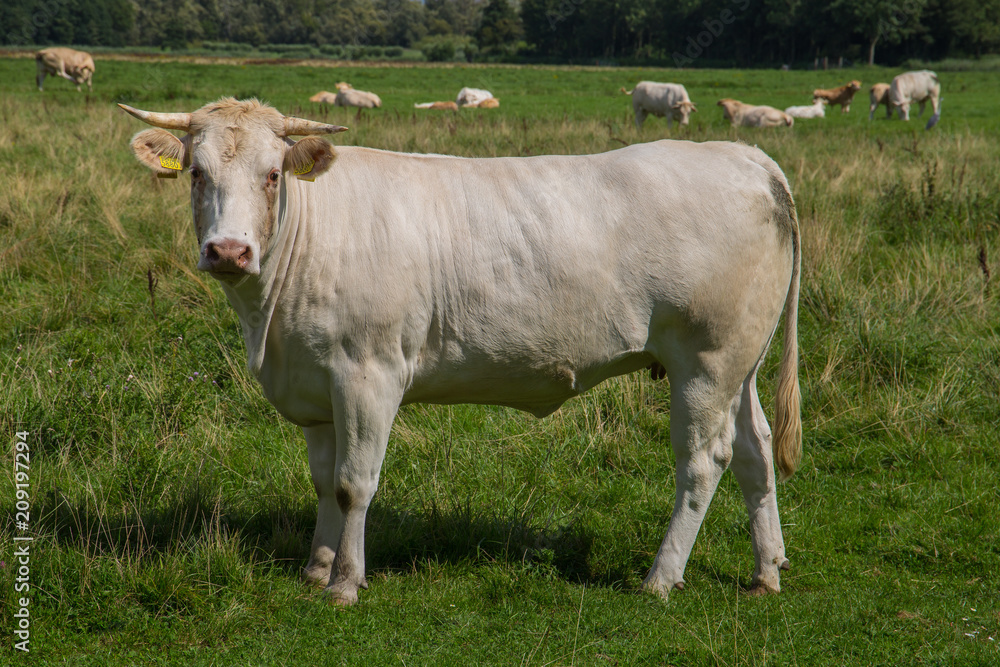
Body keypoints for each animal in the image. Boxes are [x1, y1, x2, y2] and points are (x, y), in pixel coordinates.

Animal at [119, 98, 804, 604]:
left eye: (272, 174)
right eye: (198, 173)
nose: (229, 251)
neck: (270, 321)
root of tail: (743, 155)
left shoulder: (369, 374)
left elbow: (353, 484)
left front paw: (345, 583)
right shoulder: (314, 385)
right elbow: (321, 481)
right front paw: (316, 567)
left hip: (706, 361)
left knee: (703, 462)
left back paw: (661, 577)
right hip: (740, 363)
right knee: (755, 450)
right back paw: (766, 570)